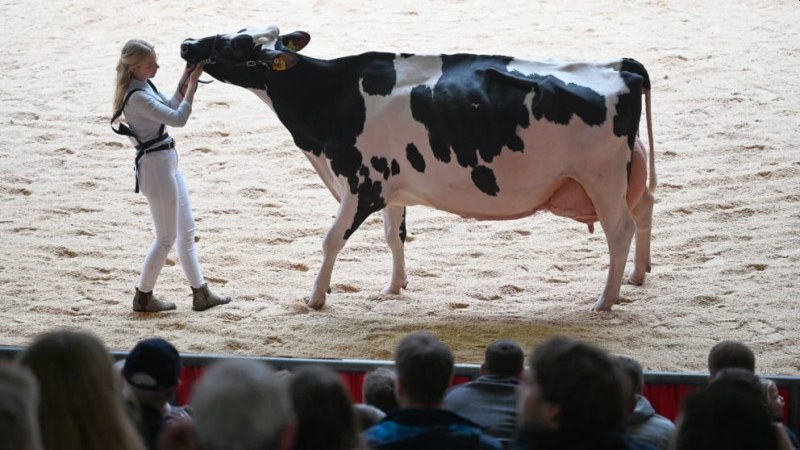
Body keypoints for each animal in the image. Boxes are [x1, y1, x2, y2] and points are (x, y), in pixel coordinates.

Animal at [181, 26, 656, 312]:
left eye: (235, 44)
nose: (188, 44)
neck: (332, 97)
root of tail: (623, 65)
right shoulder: (391, 187)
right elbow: (395, 235)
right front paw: (395, 286)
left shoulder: (361, 184)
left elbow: (331, 240)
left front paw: (315, 297)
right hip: (629, 170)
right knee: (645, 208)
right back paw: (637, 276)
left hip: (601, 178)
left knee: (620, 230)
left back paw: (605, 300)